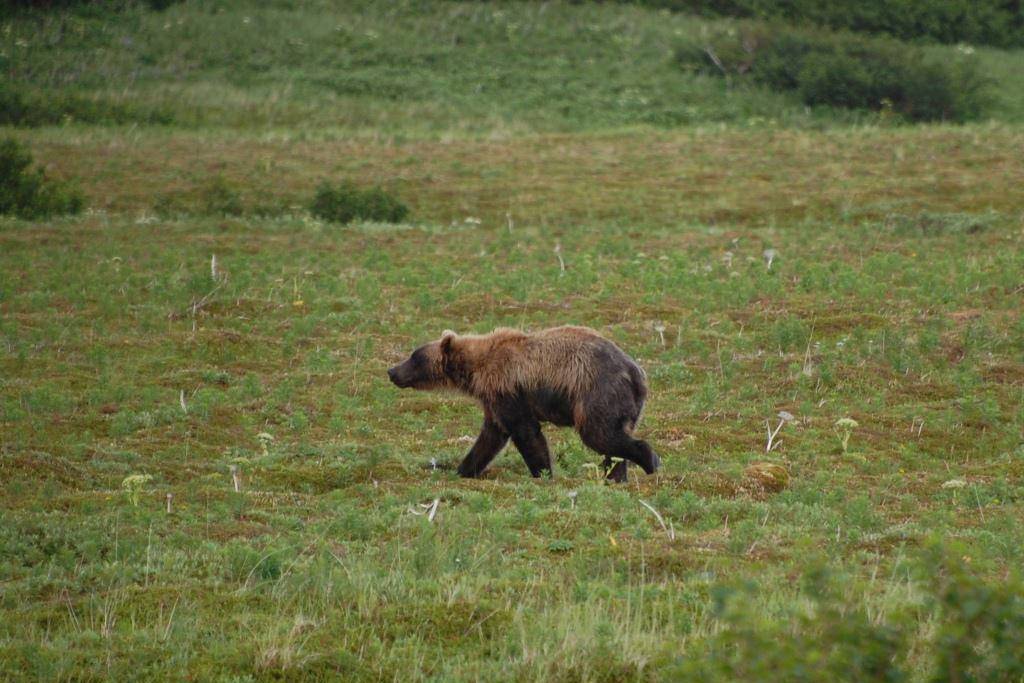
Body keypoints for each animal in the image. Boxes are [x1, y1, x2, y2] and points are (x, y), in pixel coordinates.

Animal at [387, 325, 659, 481]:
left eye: (414, 357)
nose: (392, 371)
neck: (476, 370)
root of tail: (636, 372)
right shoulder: (493, 399)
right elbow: (491, 437)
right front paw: (463, 469)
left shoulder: (508, 388)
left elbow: (525, 432)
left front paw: (543, 472)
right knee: (612, 442)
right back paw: (615, 475)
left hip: (596, 392)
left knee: (600, 435)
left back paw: (650, 462)